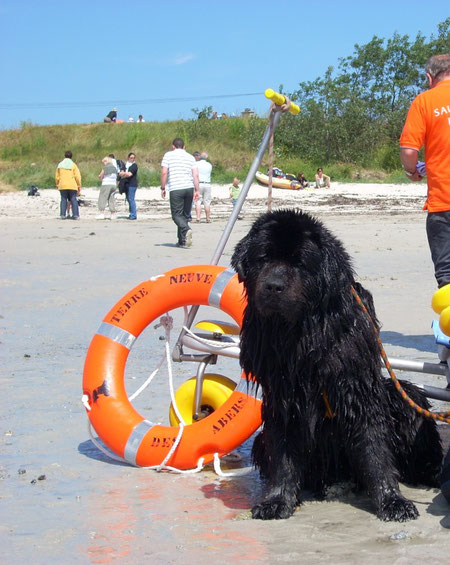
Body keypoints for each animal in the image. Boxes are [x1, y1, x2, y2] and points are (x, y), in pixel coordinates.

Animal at [232, 209, 442, 524]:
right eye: (263, 258)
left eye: (299, 262)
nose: (273, 286)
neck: (303, 335)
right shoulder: (282, 395)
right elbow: (282, 452)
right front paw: (277, 500)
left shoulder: (357, 386)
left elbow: (374, 448)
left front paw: (393, 502)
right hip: (262, 442)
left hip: (401, 396)